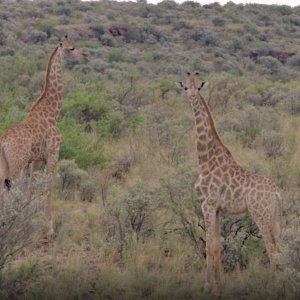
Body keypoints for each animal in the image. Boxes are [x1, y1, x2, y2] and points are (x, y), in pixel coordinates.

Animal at [0, 35, 87, 236]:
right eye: (71, 48)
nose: (85, 56)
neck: (52, 112)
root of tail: (3, 142)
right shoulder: (53, 154)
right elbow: (48, 187)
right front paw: (50, 228)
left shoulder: (36, 159)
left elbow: (31, 189)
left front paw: (25, 219)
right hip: (16, 165)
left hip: (4, 165)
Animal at [176, 72, 282, 286]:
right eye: (186, 87)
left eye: (198, 87)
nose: (192, 96)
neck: (205, 160)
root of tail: (276, 192)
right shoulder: (217, 208)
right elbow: (217, 245)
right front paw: (219, 282)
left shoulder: (207, 204)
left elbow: (208, 245)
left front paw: (207, 283)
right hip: (273, 216)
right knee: (279, 247)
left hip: (261, 214)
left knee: (271, 248)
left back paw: (272, 283)